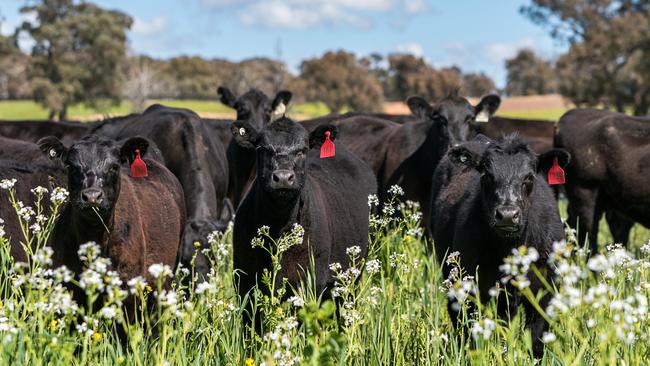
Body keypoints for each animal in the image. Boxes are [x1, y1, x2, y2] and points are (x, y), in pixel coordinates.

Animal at [232, 116, 374, 304]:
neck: (279, 225)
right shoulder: (244, 280)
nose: (283, 177)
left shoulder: (310, 280)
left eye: (302, 150)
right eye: (263, 149)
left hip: (352, 276)